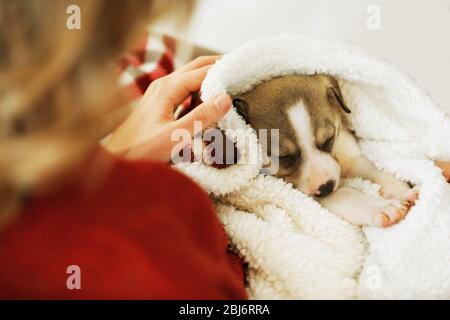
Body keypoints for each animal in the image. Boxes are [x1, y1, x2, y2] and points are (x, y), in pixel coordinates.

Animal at [232, 74, 418, 226]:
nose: (326, 187)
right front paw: (381, 208)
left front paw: (401, 189)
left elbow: (373, 171)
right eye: (284, 157)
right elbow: (346, 195)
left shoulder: (350, 158)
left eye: (329, 139)